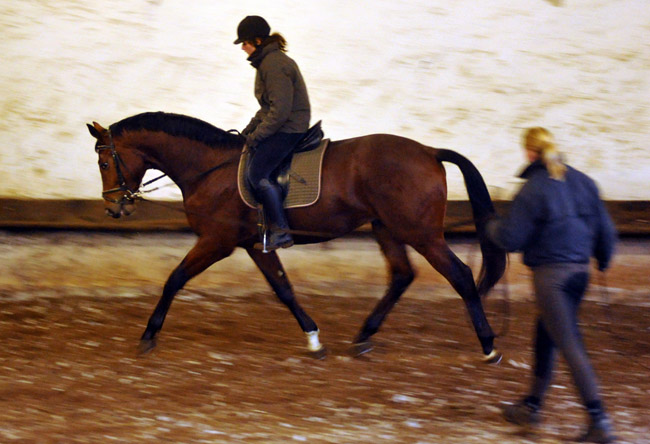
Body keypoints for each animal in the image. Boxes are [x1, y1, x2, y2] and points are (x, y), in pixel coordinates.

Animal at [85, 112, 506, 364]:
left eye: (104, 162)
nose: (115, 208)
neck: (210, 169)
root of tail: (430, 152)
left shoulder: (218, 241)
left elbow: (174, 279)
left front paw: (148, 335)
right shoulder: (255, 244)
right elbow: (283, 289)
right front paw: (314, 338)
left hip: (419, 232)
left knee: (460, 276)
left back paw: (488, 346)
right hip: (386, 228)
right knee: (402, 275)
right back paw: (363, 336)